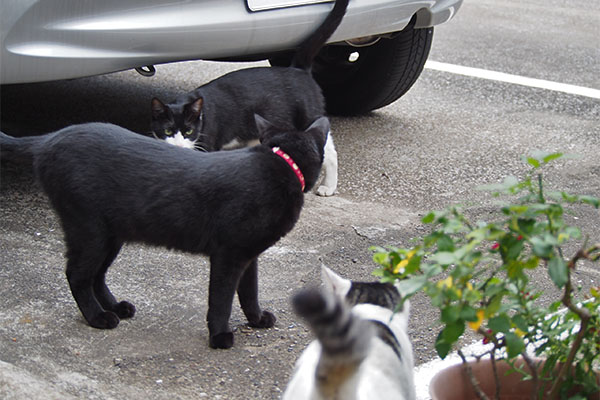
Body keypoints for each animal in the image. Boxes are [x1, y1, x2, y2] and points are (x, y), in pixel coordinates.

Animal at [0, 114, 328, 348]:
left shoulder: (249, 257)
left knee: (97, 275)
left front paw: (257, 319)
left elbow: (250, 292)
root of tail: (49, 138)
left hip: (112, 235)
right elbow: (221, 299)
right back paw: (98, 317)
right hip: (89, 230)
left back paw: (116, 307)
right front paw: (219, 336)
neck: (282, 165)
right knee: (77, 275)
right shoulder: (229, 256)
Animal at [148, 0, 352, 197]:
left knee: (329, 152)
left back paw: (328, 186)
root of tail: (298, 69)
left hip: (309, 117)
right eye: (167, 130)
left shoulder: (207, 143)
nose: (179, 145)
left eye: (189, 131)